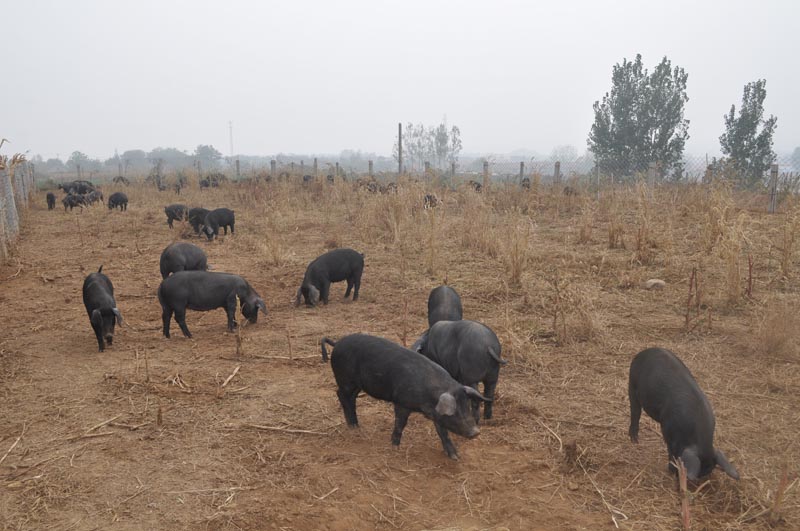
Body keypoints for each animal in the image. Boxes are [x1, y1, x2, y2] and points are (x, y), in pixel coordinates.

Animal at [318, 334, 488, 460]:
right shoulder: (401, 402)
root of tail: (337, 343)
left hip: (358, 384)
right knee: (341, 395)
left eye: (466, 406)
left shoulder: (436, 414)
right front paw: (395, 447)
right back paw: (353, 426)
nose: (476, 432)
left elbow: (442, 432)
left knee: (351, 398)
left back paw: (356, 425)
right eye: (455, 412)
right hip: (345, 379)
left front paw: (455, 457)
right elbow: (400, 424)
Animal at [628, 350, 740, 482]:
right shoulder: (668, 430)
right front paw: (671, 470)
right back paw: (634, 440)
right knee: (635, 411)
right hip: (632, 382)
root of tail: (645, 351)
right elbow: (671, 451)